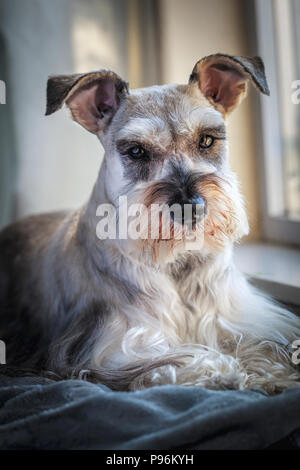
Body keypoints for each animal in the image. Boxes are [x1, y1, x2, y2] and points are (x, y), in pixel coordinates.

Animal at [0, 53, 300, 392]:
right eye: (136, 151)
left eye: (206, 140)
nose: (190, 208)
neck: (177, 264)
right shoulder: (116, 345)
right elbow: (172, 361)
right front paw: (221, 372)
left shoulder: (242, 316)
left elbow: (262, 342)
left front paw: (273, 372)